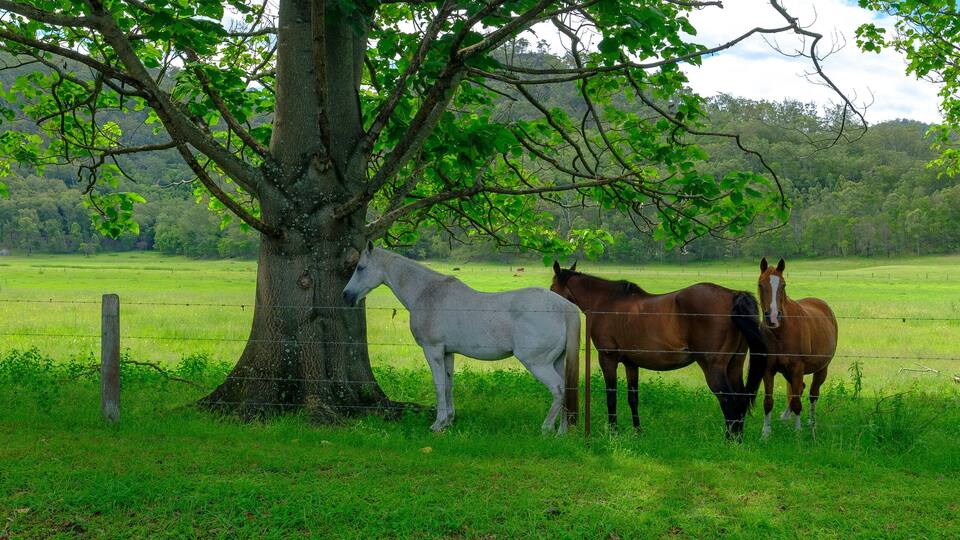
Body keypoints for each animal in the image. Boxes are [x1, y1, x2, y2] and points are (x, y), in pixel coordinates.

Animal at [342, 243, 580, 433]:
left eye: (360, 268)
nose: (346, 295)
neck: (427, 293)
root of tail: (564, 306)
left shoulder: (433, 349)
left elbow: (439, 384)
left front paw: (437, 424)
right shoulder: (447, 352)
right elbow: (448, 385)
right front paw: (448, 421)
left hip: (537, 363)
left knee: (558, 389)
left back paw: (546, 428)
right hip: (557, 361)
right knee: (566, 389)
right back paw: (561, 432)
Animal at [550, 262, 767, 437]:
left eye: (552, 288)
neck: (606, 302)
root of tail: (733, 295)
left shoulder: (608, 359)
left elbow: (611, 396)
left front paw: (613, 432)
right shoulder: (631, 364)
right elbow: (633, 398)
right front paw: (637, 431)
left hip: (713, 368)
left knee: (729, 402)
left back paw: (729, 441)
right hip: (734, 366)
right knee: (739, 401)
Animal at [756, 257, 838, 438]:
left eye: (783, 285)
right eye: (760, 284)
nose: (773, 317)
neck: (781, 332)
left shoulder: (797, 368)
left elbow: (797, 402)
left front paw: (798, 431)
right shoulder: (768, 369)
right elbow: (768, 401)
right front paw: (765, 433)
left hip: (821, 369)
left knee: (813, 394)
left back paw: (812, 423)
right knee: (800, 389)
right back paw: (786, 417)